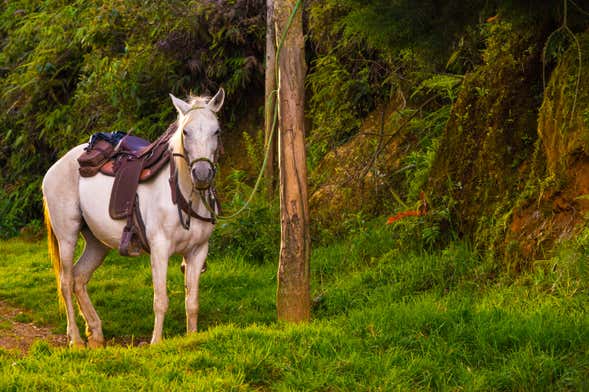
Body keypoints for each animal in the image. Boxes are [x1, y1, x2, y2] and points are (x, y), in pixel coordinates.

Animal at [42, 88, 225, 346]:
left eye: (216, 131)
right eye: (186, 132)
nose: (201, 174)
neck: (182, 193)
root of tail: (55, 167)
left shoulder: (198, 251)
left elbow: (192, 303)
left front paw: (192, 338)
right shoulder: (160, 249)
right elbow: (161, 301)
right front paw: (156, 343)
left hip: (97, 243)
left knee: (79, 278)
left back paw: (95, 332)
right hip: (67, 237)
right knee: (66, 282)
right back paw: (76, 340)